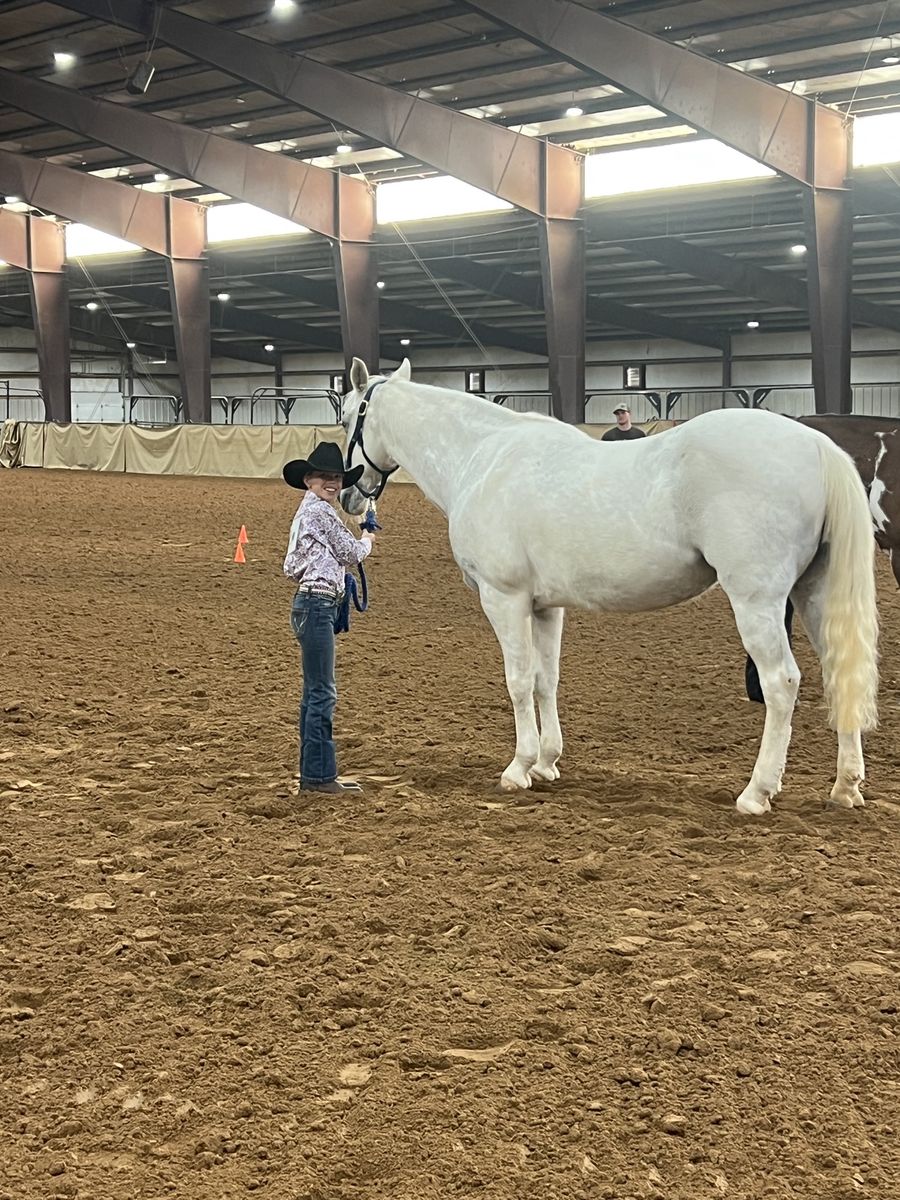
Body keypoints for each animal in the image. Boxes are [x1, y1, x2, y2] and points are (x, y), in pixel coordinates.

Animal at [339, 358, 878, 816]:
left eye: (347, 418)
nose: (348, 493)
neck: (482, 457)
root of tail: (816, 445)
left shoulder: (504, 598)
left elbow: (518, 682)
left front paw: (519, 767)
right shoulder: (545, 607)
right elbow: (546, 679)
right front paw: (547, 762)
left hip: (757, 600)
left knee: (782, 683)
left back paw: (757, 792)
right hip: (814, 595)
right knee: (840, 673)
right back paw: (846, 786)